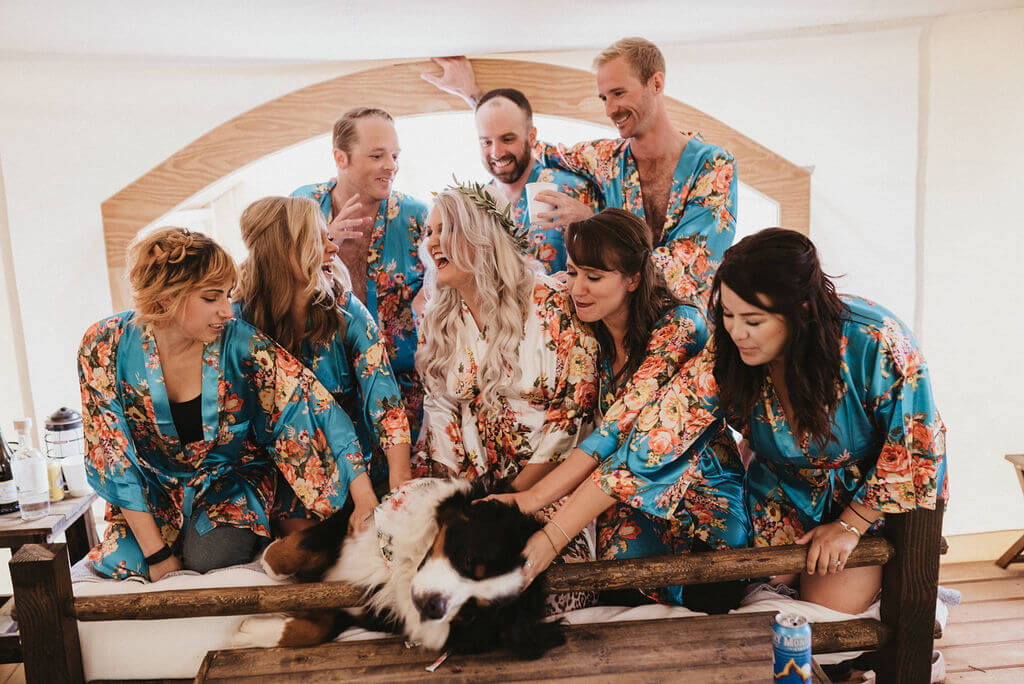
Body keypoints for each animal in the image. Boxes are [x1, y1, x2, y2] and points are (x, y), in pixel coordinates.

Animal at [233, 479, 569, 659]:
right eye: (468, 559)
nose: (433, 606)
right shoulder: (358, 521)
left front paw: (251, 631)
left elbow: (314, 628)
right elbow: (308, 543)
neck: (402, 566)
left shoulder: (367, 611)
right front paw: (271, 562)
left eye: (472, 610)